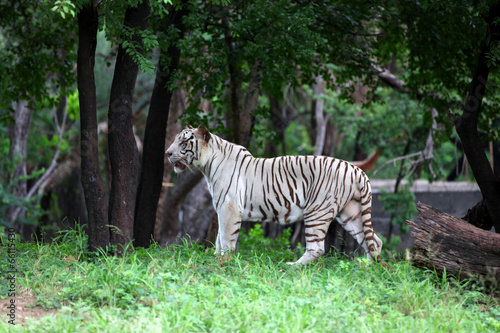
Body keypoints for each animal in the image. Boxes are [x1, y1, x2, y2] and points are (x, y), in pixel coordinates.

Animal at [168, 124, 382, 264]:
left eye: (184, 142)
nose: (168, 153)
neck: (207, 166)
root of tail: (356, 169)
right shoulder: (221, 207)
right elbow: (219, 237)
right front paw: (215, 258)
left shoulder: (229, 207)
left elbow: (227, 238)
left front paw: (223, 262)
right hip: (350, 213)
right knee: (374, 241)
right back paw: (367, 269)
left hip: (317, 211)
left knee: (317, 248)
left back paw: (292, 266)